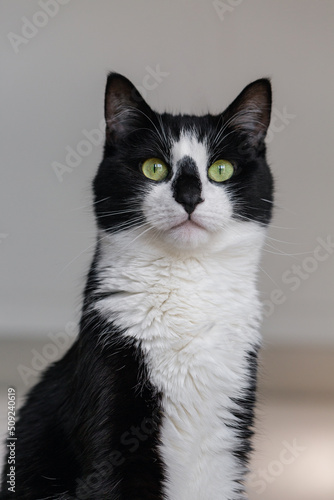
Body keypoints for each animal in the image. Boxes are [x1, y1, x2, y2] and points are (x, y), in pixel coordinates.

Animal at [0, 72, 274, 498]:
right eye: (154, 168)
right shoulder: (109, 390)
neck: (185, 289)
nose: (190, 196)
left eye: (221, 169)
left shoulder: (228, 432)